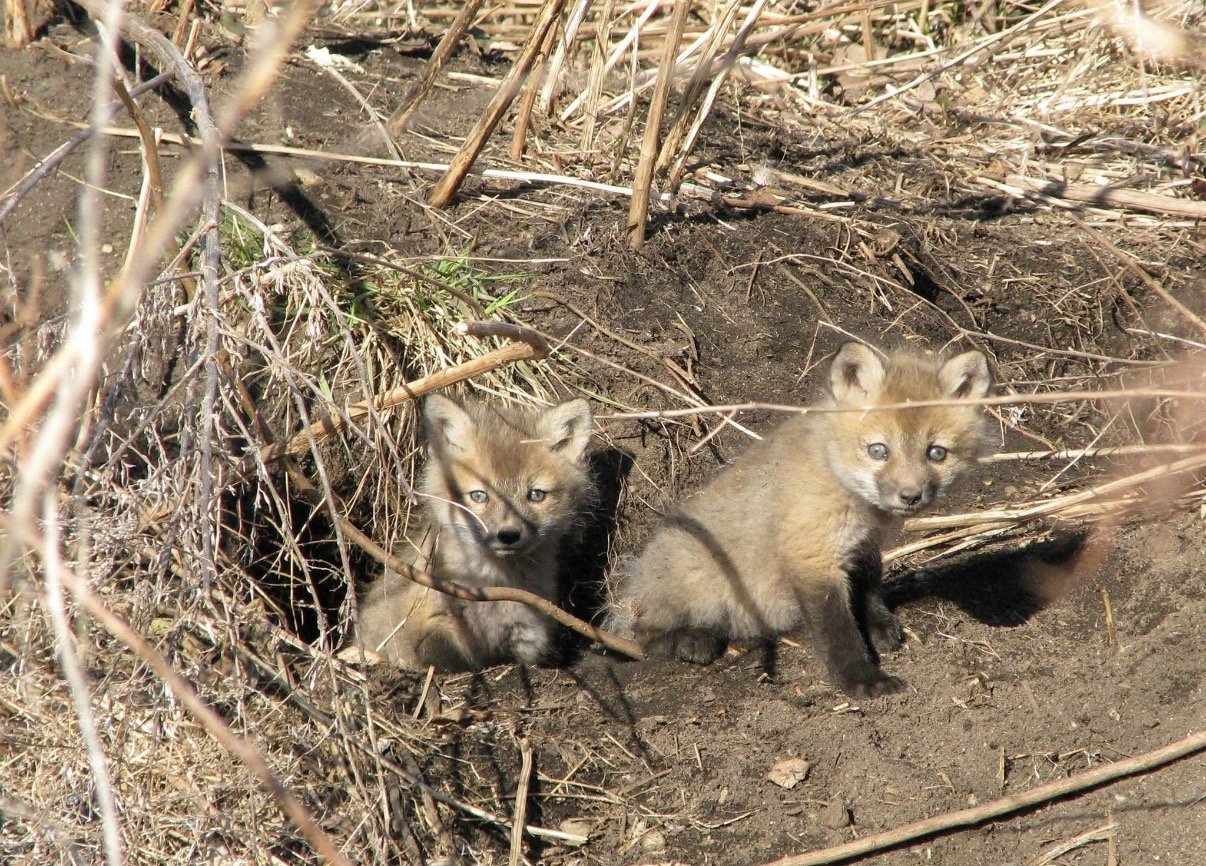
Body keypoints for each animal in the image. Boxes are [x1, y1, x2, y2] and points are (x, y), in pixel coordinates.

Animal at [355, 394, 595, 671]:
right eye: (479, 495)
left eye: (536, 495)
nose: (508, 535)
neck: (494, 590)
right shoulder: (430, 624)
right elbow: (443, 656)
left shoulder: (529, 638)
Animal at [610, 342, 992, 698]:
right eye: (878, 450)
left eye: (936, 453)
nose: (910, 496)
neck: (843, 485)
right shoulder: (812, 556)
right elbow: (838, 634)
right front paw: (861, 679)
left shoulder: (862, 546)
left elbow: (868, 589)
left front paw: (879, 625)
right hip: (693, 580)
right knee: (642, 634)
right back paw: (690, 640)